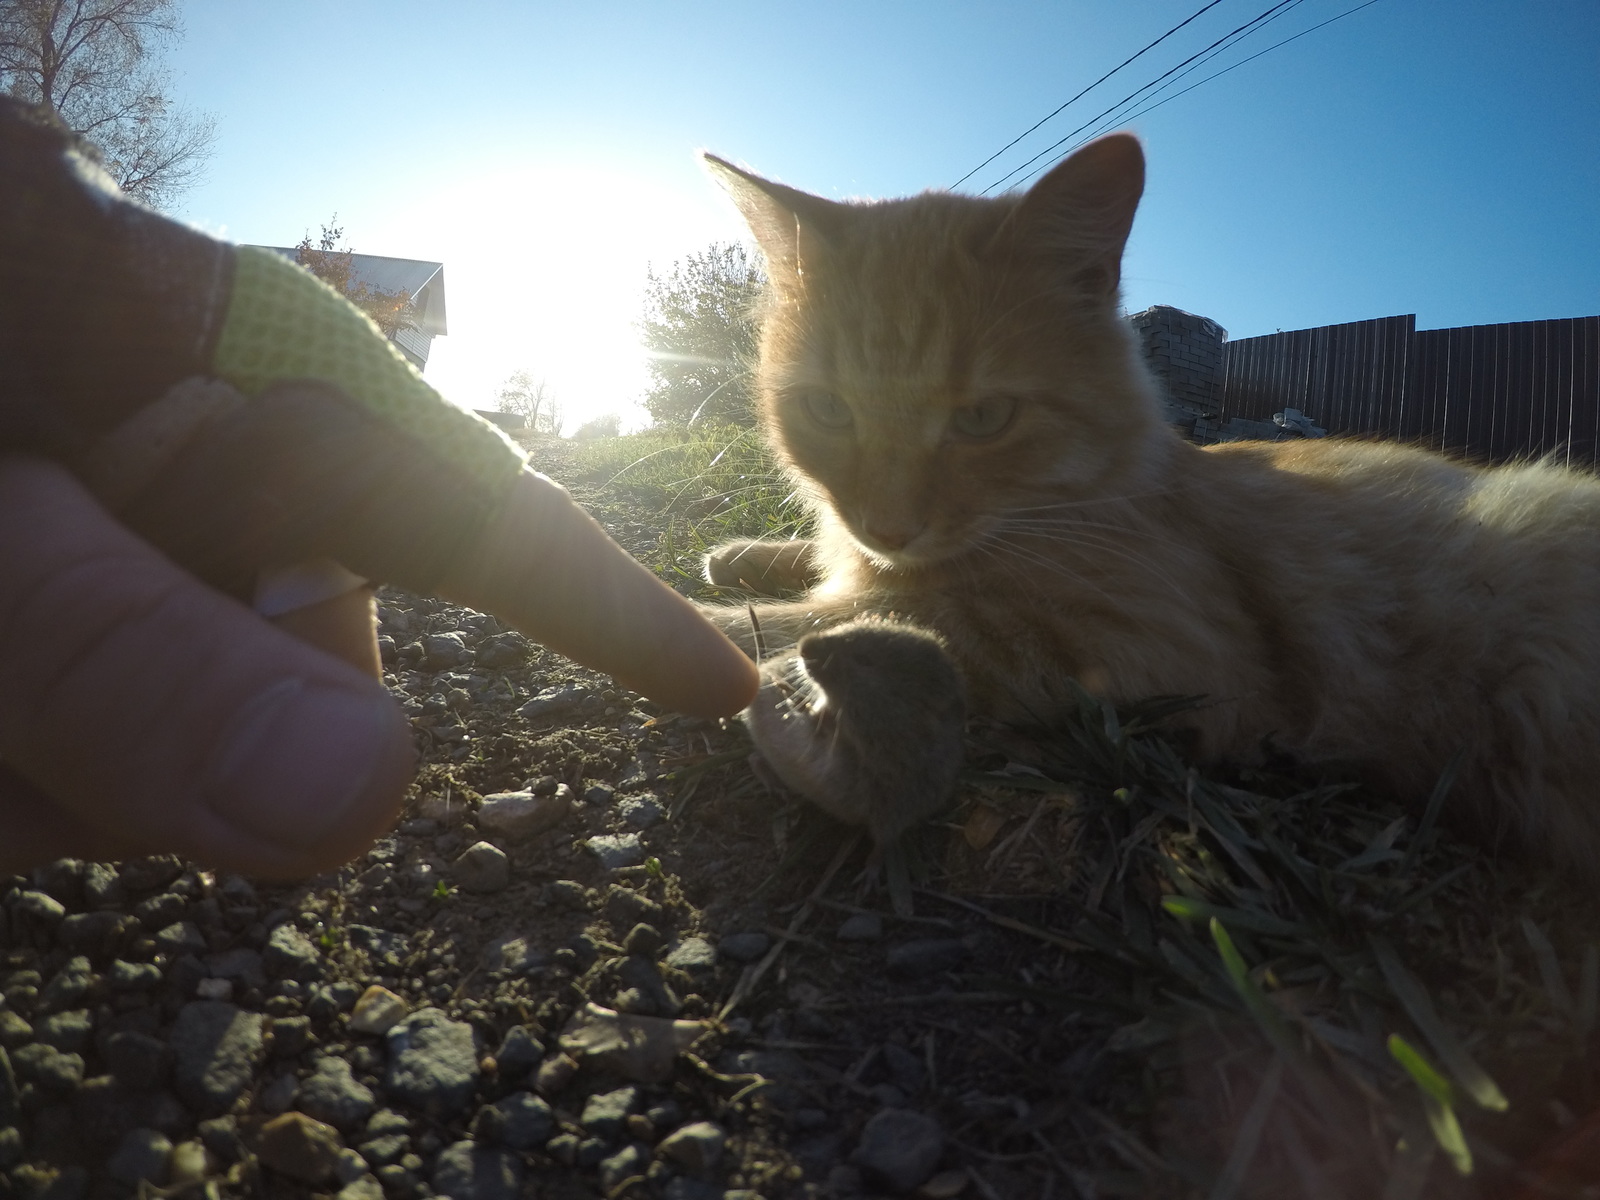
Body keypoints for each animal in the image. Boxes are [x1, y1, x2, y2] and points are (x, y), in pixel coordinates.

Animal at [707, 136, 1600, 870]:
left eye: (984, 418)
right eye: (828, 410)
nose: (889, 525)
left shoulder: (1151, 647)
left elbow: (846, 615)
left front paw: (734, 622)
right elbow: (833, 569)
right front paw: (748, 555)